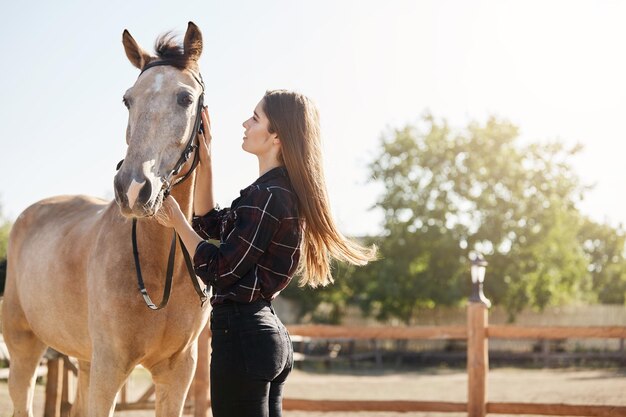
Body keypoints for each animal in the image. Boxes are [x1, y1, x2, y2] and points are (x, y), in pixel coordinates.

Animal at [0, 22, 212, 416]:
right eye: (128, 99)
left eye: (185, 99)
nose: (133, 188)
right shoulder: (110, 367)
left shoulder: (179, 372)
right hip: (24, 347)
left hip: (82, 360)